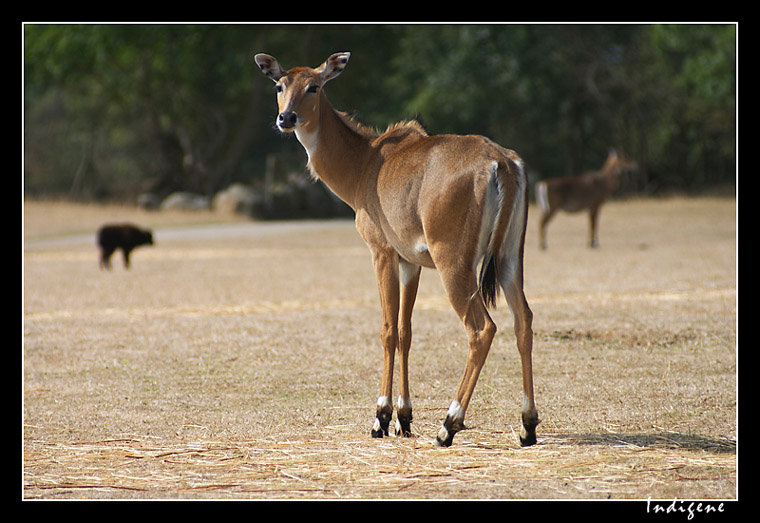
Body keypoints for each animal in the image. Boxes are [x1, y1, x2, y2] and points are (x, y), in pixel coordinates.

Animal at [255, 51, 540, 448]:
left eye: (314, 86)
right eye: (280, 86)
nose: (287, 118)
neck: (364, 163)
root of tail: (501, 162)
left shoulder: (382, 254)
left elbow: (388, 329)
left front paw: (381, 417)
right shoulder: (411, 263)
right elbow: (406, 331)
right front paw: (404, 417)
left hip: (454, 263)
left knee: (481, 329)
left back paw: (448, 424)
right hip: (510, 257)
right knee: (523, 320)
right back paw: (528, 426)